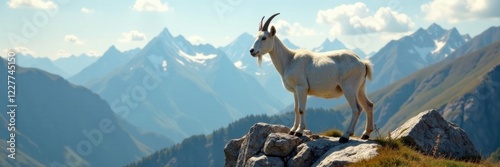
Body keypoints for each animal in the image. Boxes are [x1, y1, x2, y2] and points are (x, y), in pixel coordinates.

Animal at [248, 13, 374, 144]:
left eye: (264, 38)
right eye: (256, 37)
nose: (252, 51)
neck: (289, 60)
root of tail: (362, 62)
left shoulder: (301, 87)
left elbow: (301, 109)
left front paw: (299, 132)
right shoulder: (295, 91)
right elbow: (295, 109)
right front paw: (292, 130)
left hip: (349, 87)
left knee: (356, 109)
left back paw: (345, 136)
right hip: (360, 88)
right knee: (369, 105)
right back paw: (365, 134)